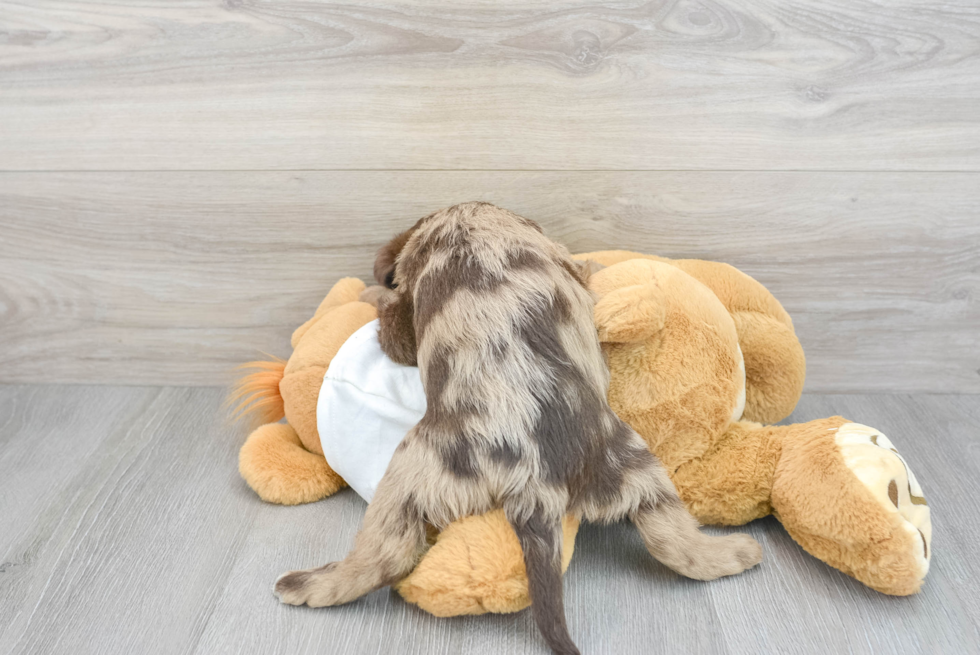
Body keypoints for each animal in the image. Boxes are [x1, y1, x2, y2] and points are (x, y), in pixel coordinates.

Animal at [272, 204, 760, 655]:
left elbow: (390, 314)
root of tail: (535, 480)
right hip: (632, 464)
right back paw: (737, 553)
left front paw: (371, 292)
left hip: (415, 471)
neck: (467, 220)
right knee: (674, 542)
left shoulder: (404, 325)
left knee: (385, 556)